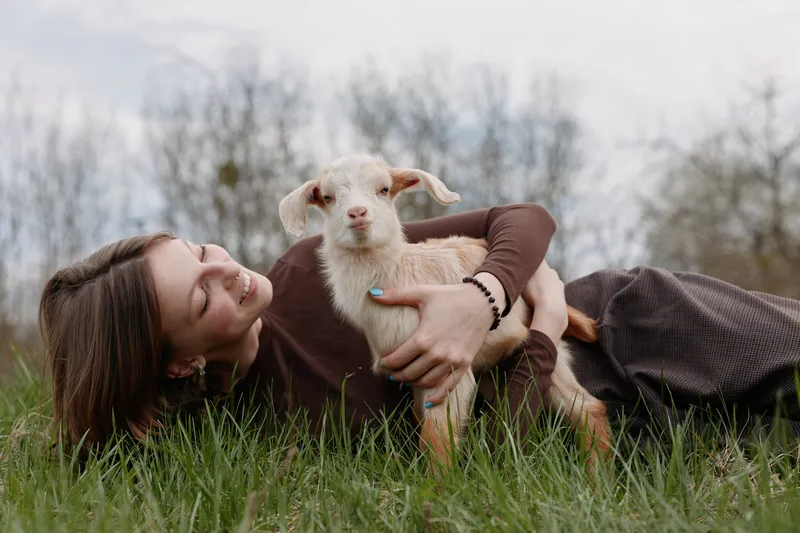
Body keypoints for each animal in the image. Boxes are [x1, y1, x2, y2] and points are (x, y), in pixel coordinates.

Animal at [279, 154, 611, 473]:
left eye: (384, 189)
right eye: (328, 197)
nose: (357, 213)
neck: (399, 274)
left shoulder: (447, 368)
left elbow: (438, 439)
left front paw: (436, 488)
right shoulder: (416, 374)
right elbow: (425, 426)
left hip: (550, 349)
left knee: (588, 408)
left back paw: (597, 480)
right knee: (589, 408)